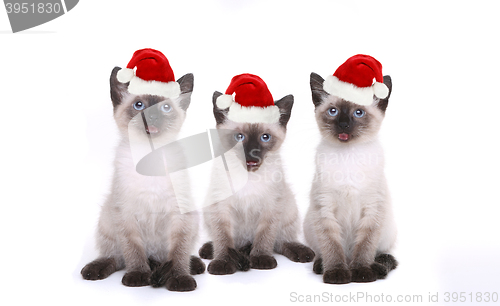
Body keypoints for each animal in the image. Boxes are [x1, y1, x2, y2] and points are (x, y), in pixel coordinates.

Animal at [198, 74, 312, 274]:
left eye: (265, 137)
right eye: (240, 137)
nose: (252, 153)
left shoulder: (271, 206)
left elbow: (265, 237)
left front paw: (261, 259)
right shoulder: (221, 207)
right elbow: (223, 239)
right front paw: (223, 263)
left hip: (288, 206)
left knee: (281, 241)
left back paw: (301, 253)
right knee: (231, 242)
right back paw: (210, 250)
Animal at [304, 53, 398, 284]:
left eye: (358, 113)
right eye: (333, 111)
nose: (344, 124)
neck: (348, 157)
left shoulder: (372, 211)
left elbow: (364, 247)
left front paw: (362, 273)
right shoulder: (324, 210)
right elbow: (332, 247)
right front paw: (337, 274)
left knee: (382, 255)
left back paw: (375, 268)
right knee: (326, 253)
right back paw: (322, 266)